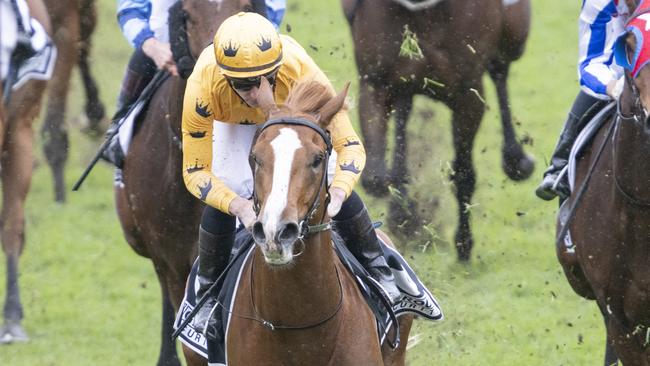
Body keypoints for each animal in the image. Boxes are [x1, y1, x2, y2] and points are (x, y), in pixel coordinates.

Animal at [342, 0, 528, 260]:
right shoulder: (376, 82)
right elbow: (375, 177)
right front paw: (404, 214)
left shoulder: (468, 96)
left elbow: (463, 174)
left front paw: (463, 243)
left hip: (515, 33)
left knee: (500, 70)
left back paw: (516, 159)